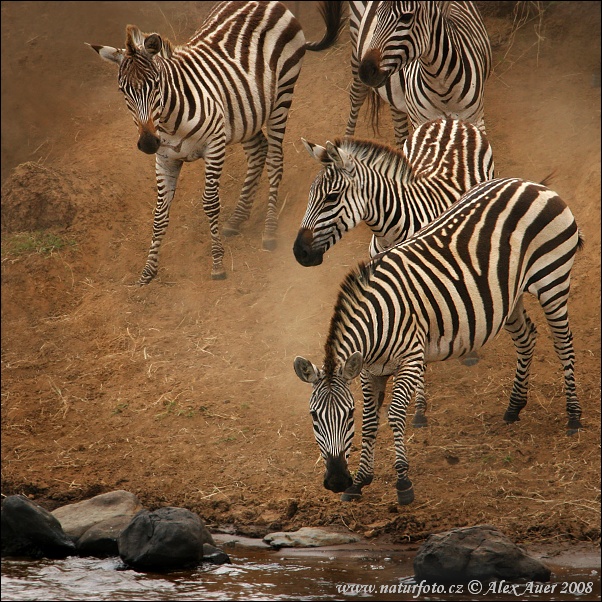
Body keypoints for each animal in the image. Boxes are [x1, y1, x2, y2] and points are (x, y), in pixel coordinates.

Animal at [88, 0, 342, 282]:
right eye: (123, 90)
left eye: (155, 85)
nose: (147, 144)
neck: (169, 120)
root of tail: (268, 2)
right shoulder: (164, 158)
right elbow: (159, 213)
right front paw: (148, 270)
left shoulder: (214, 146)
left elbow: (210, 204)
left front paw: (217, 264)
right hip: (245, 111)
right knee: (259, 150)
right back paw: (237, 219)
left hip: (282, 94)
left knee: (275, 160)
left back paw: (269, 232)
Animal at [292, 176, 584, 504]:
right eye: (314, 417)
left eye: (347, 414)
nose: (337, 480)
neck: (379, 319)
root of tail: (532, 184)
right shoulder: (369, 370)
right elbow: (370, 420)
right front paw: (360, 481)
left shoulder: (410, 360)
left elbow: (394, 415)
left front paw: (403, 483)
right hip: (509, 295)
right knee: (526, 337)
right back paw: (514, 407)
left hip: (553, 280)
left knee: (563, 343)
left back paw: (574, 416)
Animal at [338, 0, 488, 145]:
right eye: (377, 14)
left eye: (406, 17)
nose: (366, 72)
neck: (442, 87)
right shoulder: (421, 122)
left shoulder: (475, 119)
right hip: (356, 39)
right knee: (356, 96)